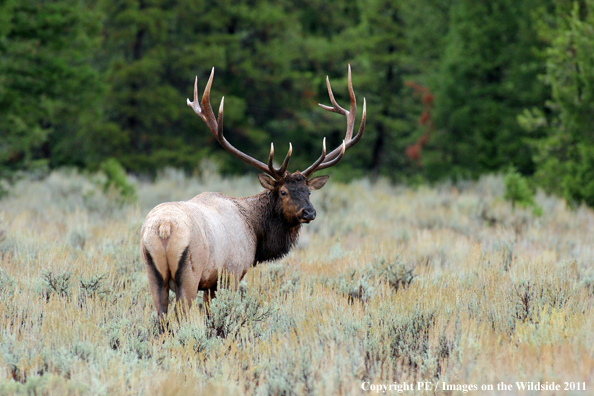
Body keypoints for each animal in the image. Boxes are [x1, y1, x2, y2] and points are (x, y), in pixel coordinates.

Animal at [141, 64, 364, 318]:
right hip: (189, 273)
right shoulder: (230, 273)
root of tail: (164, 228)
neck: (256, 235)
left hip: (153, 272)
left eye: (308, 191)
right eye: (283, 192)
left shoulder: (211, 281)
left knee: (161, 316)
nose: (309, 212)